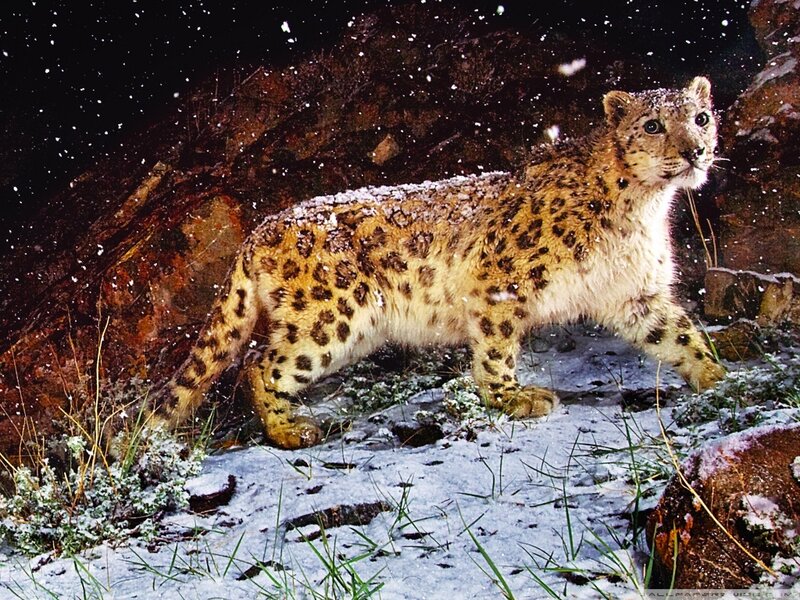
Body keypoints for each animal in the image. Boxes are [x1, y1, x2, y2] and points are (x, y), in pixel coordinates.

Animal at [153, 76, 725, 449]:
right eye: (653, 125)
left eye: (701, 118)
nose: (695, 151)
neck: (644, 209)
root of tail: (261, 228)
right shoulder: (500, 281)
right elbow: (495, 348)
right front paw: (511, 398)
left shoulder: (634, 293)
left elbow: (679, 334)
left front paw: (719, 378)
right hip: (333, 318)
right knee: (256, 363)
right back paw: (290, 430)